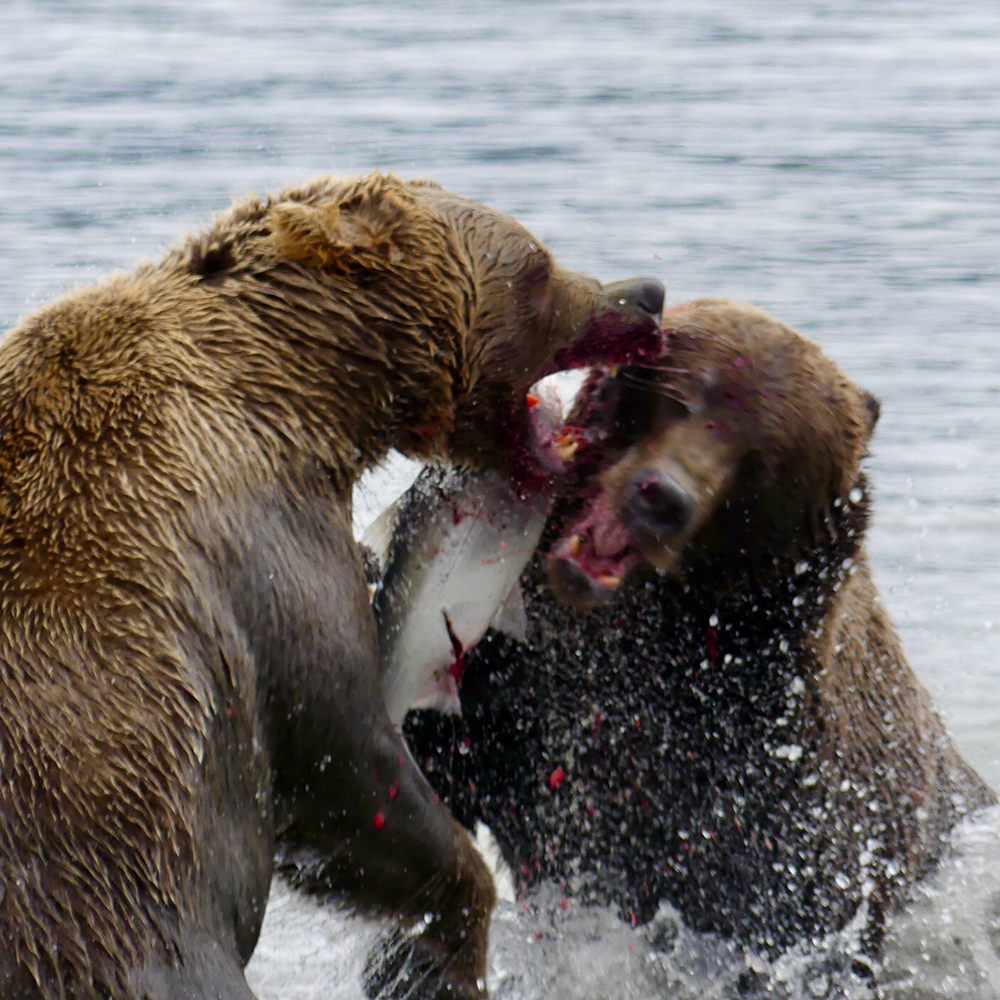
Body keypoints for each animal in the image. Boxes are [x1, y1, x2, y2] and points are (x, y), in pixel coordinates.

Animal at [0, 172, 665, 1000]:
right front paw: (438, 949)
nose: (646, 293)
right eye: (539, 264)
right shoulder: (267, 565)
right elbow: (345, 768)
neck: (301, 392)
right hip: (119, 928)